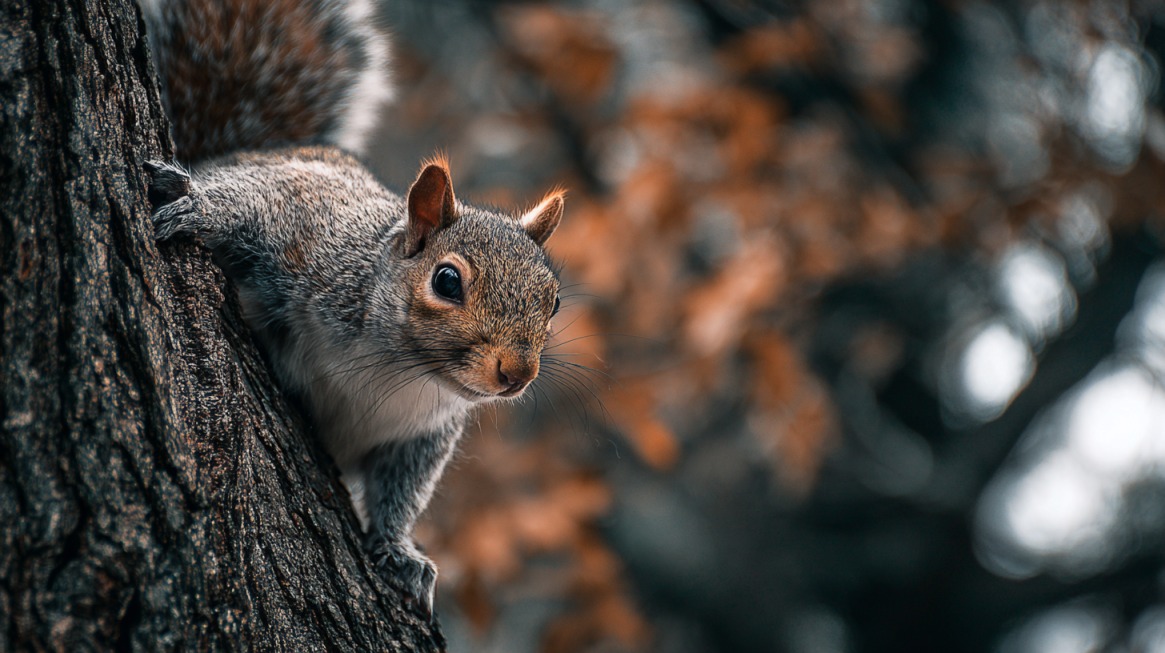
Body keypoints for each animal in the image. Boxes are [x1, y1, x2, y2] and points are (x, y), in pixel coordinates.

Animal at [140, 0, 566, 619]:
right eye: (446, 281)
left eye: (554, 301)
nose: (518, 373)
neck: (395, 367)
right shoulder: (309, 228)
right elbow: (248, 205)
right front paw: (196, 205)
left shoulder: (420, 434)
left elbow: (400, 492)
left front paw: (399, 552)